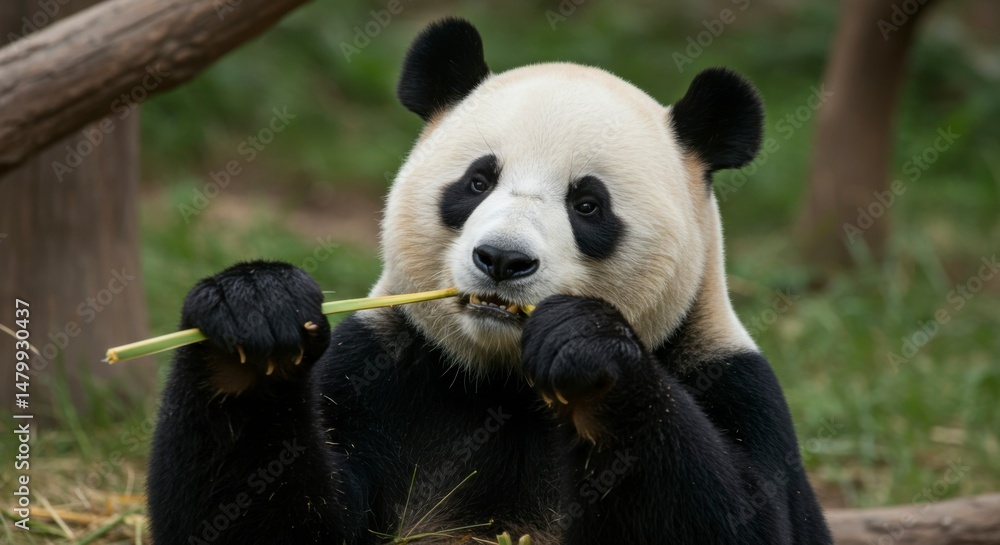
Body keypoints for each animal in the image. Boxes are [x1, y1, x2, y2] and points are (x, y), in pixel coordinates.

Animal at [148, 18, 832, 545]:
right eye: (477, 181)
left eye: (588, 205)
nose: (503, 260)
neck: (507, 385)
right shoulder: (383, 371)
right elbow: (281, 519)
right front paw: (253, 319)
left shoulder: (733, 385)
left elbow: (744, 519)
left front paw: (584, 350)